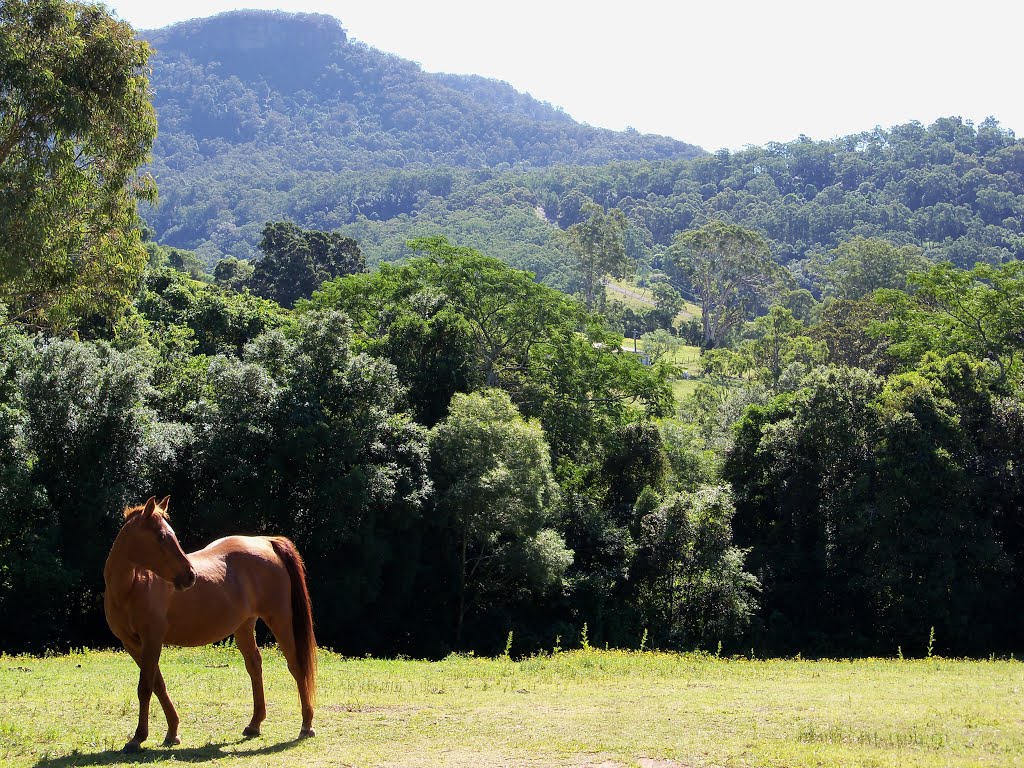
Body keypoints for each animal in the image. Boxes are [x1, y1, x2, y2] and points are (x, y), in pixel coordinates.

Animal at [102, 495, 315, 753]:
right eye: (161, 537)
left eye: (171, 535)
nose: (190, 576)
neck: (131, 587)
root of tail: (266, 542)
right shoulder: (133, 644)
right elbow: (157, 684)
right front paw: (172, 732)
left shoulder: (152, 640)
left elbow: (145, 688)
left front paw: (138, 737)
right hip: (244, 626)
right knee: (254, 666)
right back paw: (254, 724)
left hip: (280, 619)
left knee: (296, 666)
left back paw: (306, 725)